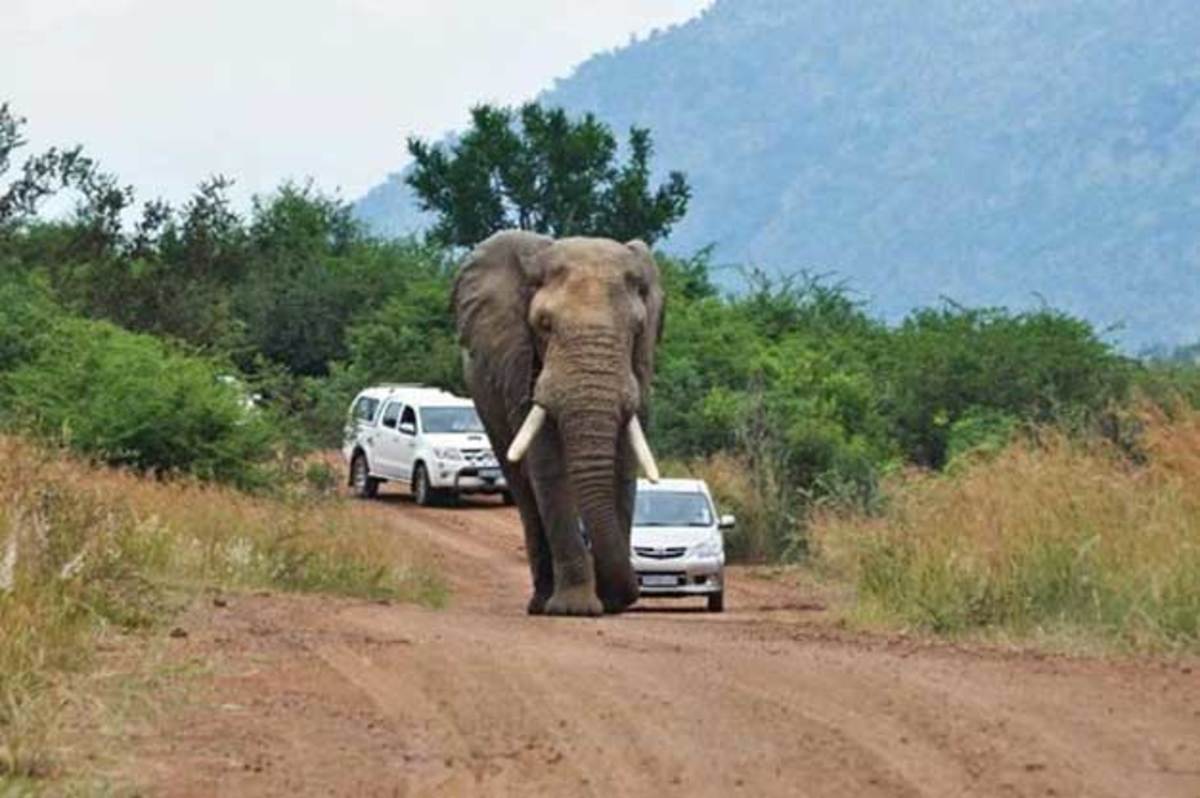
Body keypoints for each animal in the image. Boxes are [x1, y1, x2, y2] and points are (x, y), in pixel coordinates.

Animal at [453, 230, 672, 614]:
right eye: (544, 325)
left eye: (638, 328)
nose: (624, 596)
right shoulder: (521, 368)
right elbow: (549, 467)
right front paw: (576, 609)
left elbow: (622, 463)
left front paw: (608, 604)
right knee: (523, 488)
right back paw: (541, 602)